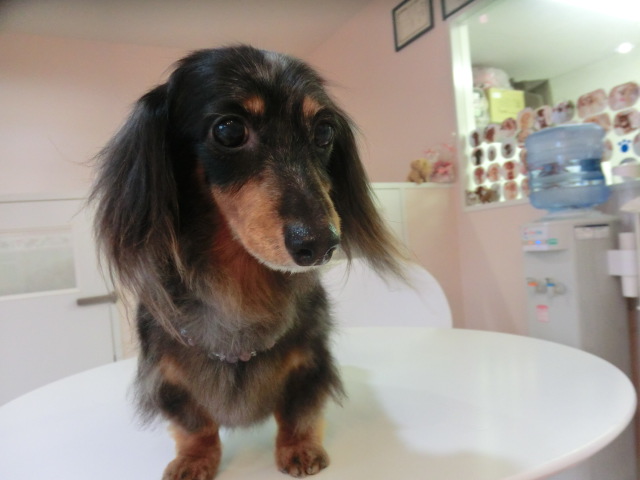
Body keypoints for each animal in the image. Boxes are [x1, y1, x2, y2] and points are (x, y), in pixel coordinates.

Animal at [91, 45, 405, 479]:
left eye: (324, 132)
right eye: (228, 130)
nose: (321, 245)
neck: (241, 281)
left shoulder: (310, 364)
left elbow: (298, 412)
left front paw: (299, 448)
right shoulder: (169, 379)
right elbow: (195, 424)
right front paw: (194, 459)